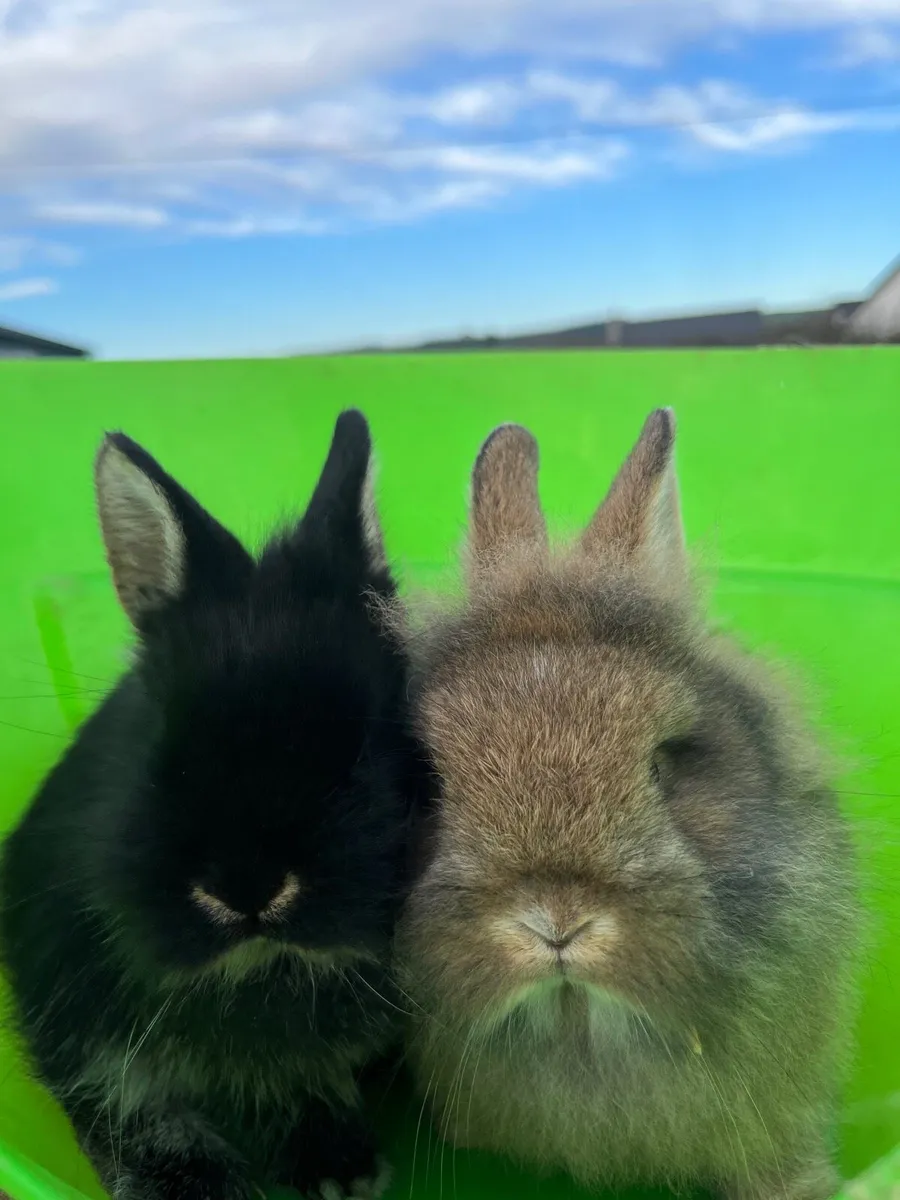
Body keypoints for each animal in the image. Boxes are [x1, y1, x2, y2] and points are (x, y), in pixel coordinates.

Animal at [0, 409, 424, 1200]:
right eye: (160, 740)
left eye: (363, 744)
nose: (246, 889)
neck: (265, 968)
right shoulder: (83, 1030)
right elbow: (137, 1113)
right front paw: (195, 1187)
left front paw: (341, 1172)